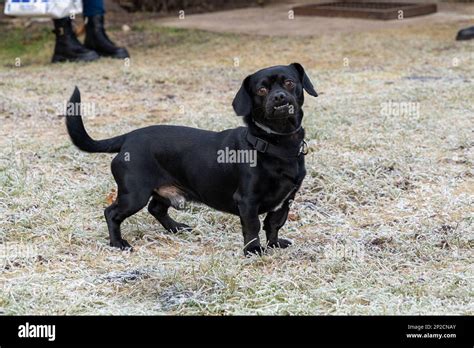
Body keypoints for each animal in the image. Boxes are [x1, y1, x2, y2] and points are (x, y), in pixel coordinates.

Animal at [65, 62, 318, 254]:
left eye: (289, 82)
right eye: (261, 90)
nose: (279, 97)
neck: (277, 144)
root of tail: (128, 137)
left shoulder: (286, 200)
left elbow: (274, 224)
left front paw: (274, 245)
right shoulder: (247, 201)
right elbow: (253, 226)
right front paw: (253, 251)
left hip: (163, 190)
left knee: (156, 209)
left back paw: (176, 228)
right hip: (134, 194)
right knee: (112, 213)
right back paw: (118, 243)